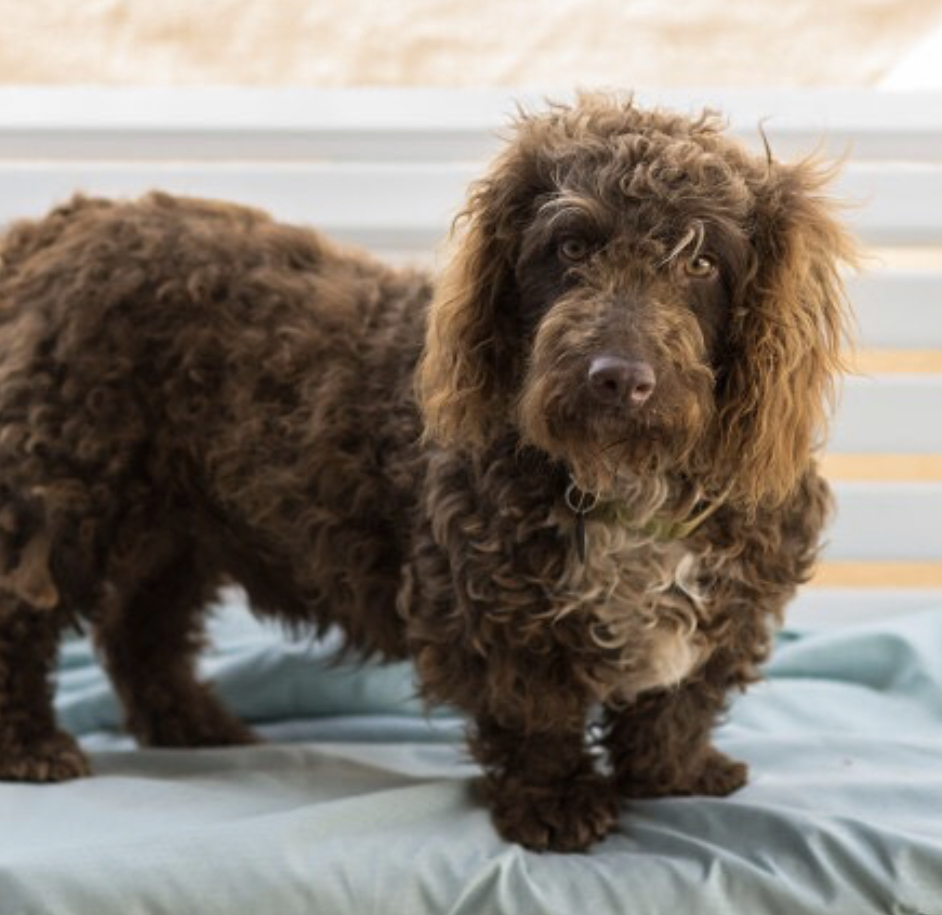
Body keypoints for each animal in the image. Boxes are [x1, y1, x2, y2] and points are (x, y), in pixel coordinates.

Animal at [0, 93, 856, 852]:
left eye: (702, 260)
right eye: (572, 246)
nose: (618, 377)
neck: (623, 480)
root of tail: (60, 223)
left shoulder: (729, 603)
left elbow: (679, 703)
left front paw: (673, 772)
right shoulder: (495, 609)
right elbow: (536, 714)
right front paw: (554, 801)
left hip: (176, 525)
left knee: (140, 628)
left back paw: (190, 723)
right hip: (63, 493)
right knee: (28, 616)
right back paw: (32, 745)